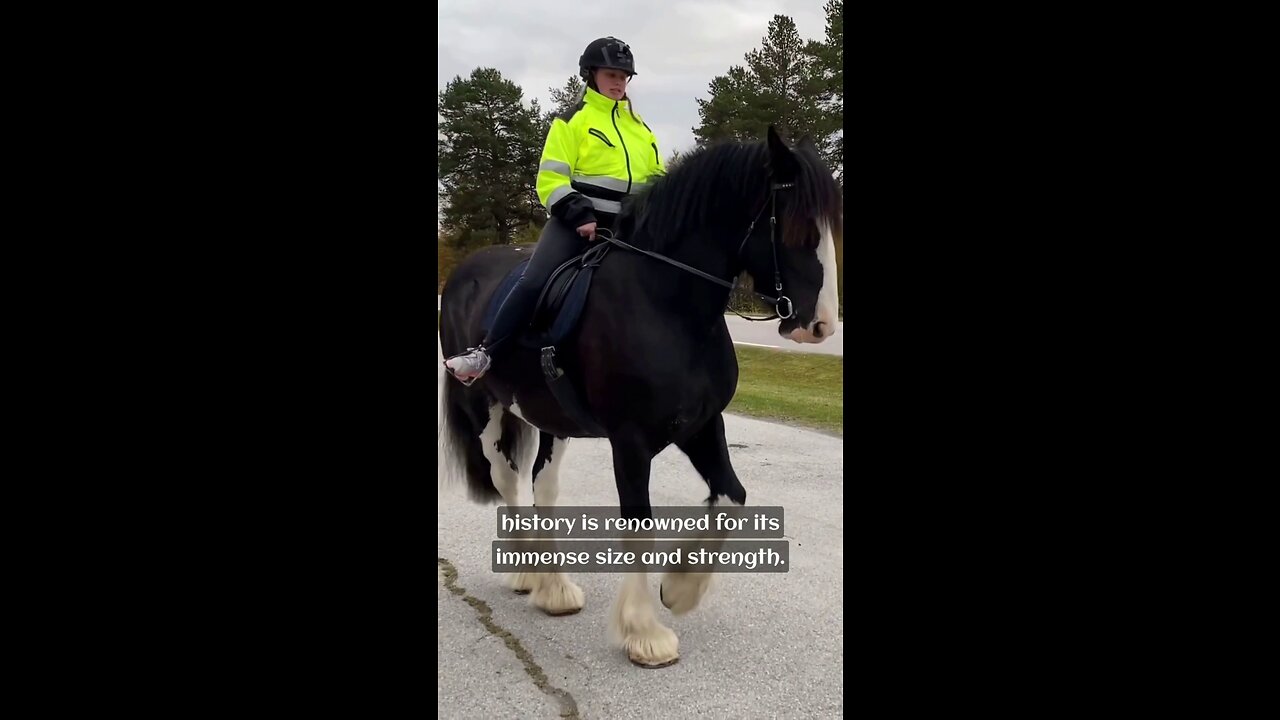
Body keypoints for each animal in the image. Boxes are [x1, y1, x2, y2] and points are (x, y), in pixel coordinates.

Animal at [437, 124, 839, 666]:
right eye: (797, 225)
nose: (821, 326)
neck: (666, 302)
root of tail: (466, 271)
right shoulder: (629, 441)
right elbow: (639, 523)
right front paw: (644, 632)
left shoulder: (702, 425)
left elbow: (732, 496)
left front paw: (681, 590)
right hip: (486, 408)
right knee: (508, 481)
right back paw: (528, 571)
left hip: (553, 419)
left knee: (543, 485)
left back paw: (552, 588)